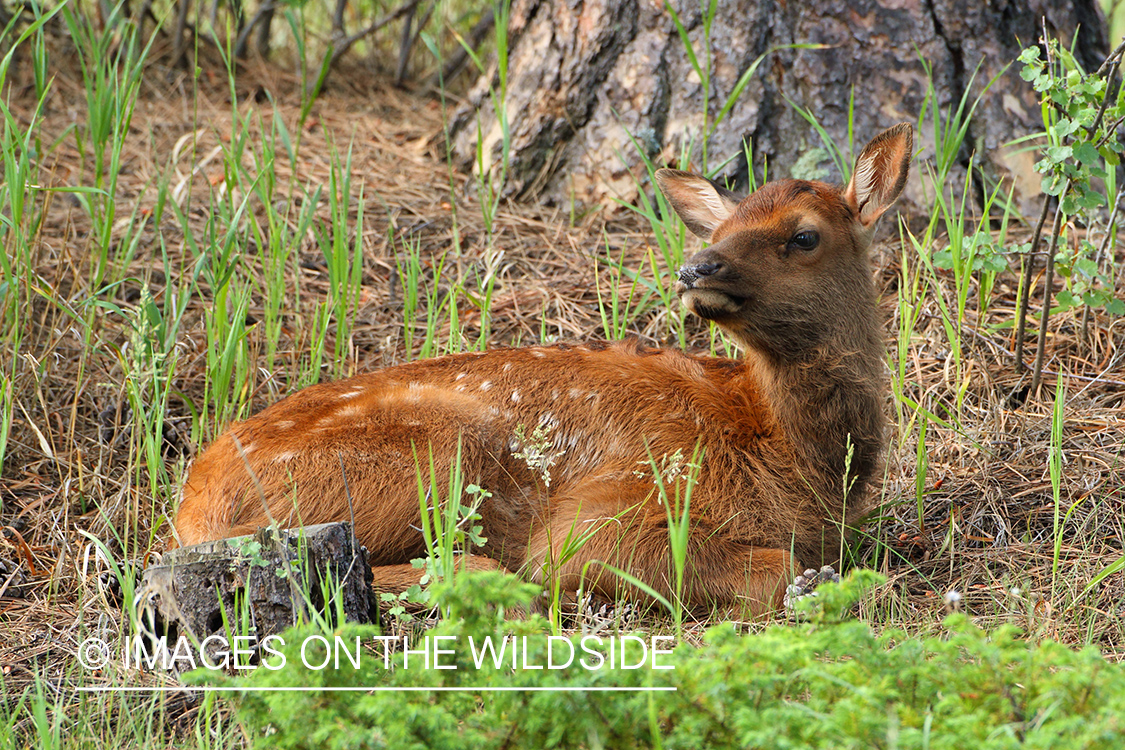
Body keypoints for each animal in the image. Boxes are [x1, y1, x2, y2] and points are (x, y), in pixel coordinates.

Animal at [175, 124, 913, 616]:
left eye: (804, 234)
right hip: (429, 456)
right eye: (720, 228)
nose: (695, 269)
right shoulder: (613, 510)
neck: (790, 458)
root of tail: (190, 504)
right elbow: (771, 566)